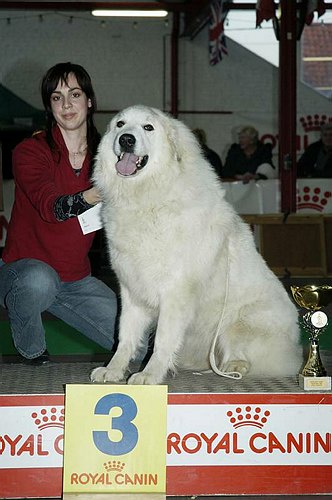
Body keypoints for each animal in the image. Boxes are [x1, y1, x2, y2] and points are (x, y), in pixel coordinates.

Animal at [89, 104, 302, 386]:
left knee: (244, 354)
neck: (149, 198)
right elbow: (125, 336)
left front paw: (149, 375)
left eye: (148, 127)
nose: (126, 139)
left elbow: (162, 340)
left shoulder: (175, 292)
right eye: (120, 124)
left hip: (235, 323)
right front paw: (113, 370)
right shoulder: (131, 290)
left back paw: (233, 366)